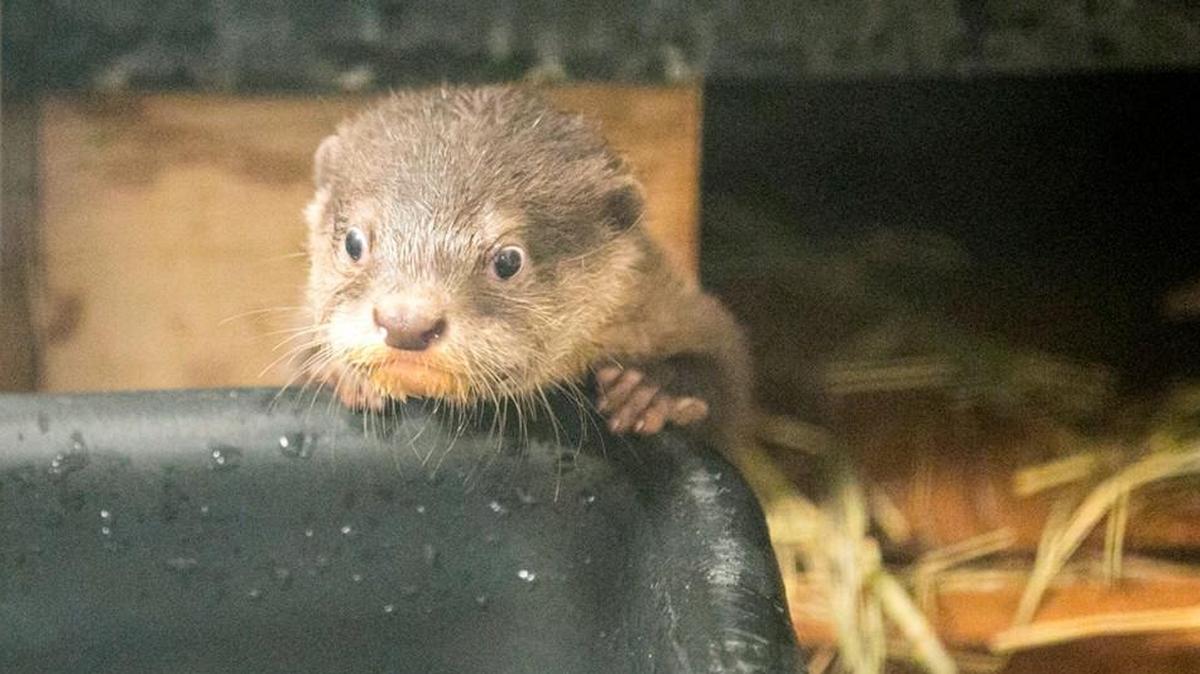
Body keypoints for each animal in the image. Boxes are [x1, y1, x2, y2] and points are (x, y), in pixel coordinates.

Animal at [299, 85, 750, 443]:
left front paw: (649, 389)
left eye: (508, 260)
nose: (406, 322)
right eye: (354, 242)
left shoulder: (674, 303)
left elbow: (726, 368)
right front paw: (340, 372)